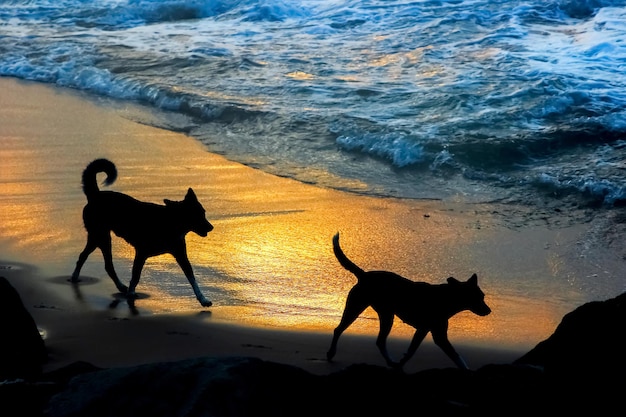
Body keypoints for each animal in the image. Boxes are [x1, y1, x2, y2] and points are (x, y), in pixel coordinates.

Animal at [71, 158, 214, 308]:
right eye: (196, 216)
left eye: (203, 213)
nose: (211, 227)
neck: (171, 222)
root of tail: (95, 195)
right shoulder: (141, 253)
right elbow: (136, 276)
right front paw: (131, 294)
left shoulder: (181, 255)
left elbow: (192, 277)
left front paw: (203, 299)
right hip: (101, 236)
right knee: (102, 263)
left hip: (97, 237)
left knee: (90, 258)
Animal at [324, 232, 490, 368]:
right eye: (478, 298)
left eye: (483, 297)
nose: (489, 311)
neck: (446, 298)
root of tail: (364, 275)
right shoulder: (438, 336)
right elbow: (456, 356)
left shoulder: (424, 330)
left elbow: (411, 350)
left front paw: (401, 363)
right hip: (357, 307)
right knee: (339, 330)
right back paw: (331, 353)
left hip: (385, 314)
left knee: (380, 341)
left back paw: (391, 362)